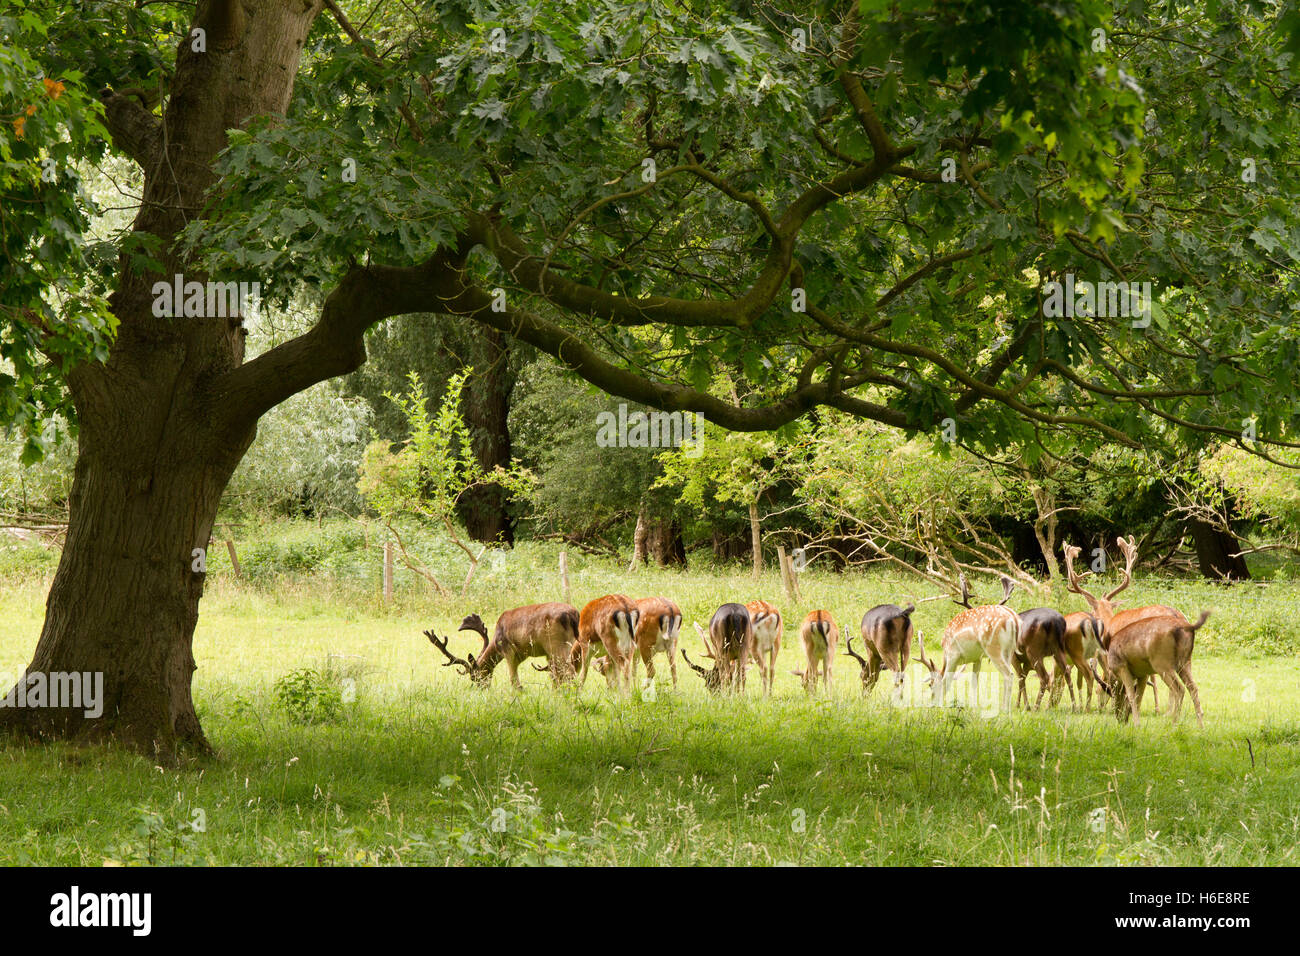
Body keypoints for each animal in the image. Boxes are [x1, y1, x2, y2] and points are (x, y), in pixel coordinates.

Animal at [424, 602, 580, 690]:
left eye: (474, 677)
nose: (482, 688)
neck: (495, 642)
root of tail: (573, 615)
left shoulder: (508, 650)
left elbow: (514, 680)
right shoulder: (528, 654)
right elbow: (554, 675)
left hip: (556, 644)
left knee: (570, 671)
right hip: (568, 645)